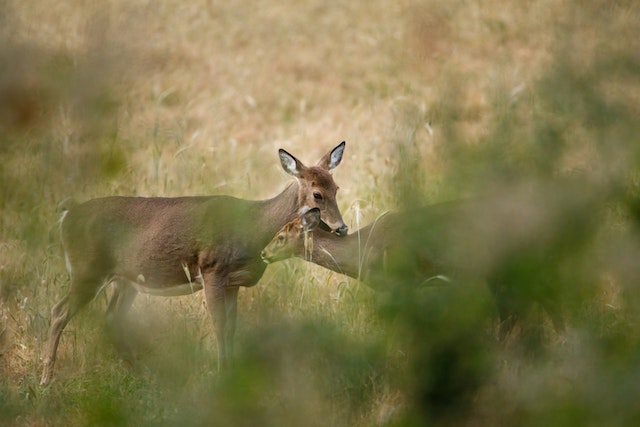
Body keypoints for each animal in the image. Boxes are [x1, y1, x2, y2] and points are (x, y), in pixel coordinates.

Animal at [40, 142, 350, 386]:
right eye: (317, 194)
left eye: (336, 188)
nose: (342, 228)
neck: (251, 226)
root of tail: (66, 217)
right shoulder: (212, 268)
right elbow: (219, 324)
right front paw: (222, 374)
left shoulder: (233, 282)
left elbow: (231, 325)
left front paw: (231, 371)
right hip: (87, 269)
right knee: (58, 311)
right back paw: (45, 379)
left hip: (125, 279)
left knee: (111, 318)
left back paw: (142, 373)